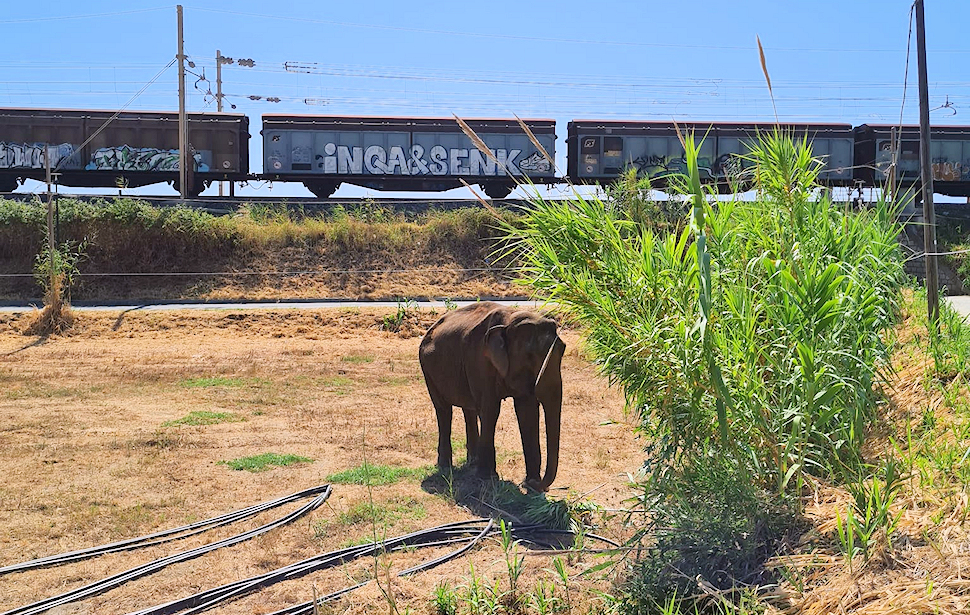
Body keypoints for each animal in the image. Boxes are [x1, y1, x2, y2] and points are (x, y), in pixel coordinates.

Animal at [418, 302, 566, 492]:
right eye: (530, 356)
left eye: (563, 350)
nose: (535, 485)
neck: (509, 320)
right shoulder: (479, 360)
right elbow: (490, 410)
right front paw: (488, 478)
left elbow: (527, 412)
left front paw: (531, 485)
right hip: (427, 369)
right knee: (443, 410)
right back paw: (446, 466)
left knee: (469, 409)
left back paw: (472, 462)